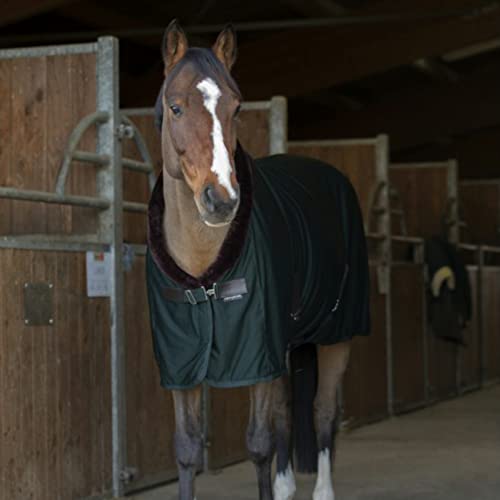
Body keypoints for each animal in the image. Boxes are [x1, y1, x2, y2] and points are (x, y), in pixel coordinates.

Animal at [146, 19, 370, 500]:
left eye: (235, 108)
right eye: (176, 107)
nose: (221, 200)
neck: (203, 276)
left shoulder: (257, 355)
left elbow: (259, 444)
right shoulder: (182, 365)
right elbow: (187, 448)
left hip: (336, 337)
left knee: (323, 411)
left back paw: (322, 490)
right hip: (286, 345)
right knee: (288, 412)